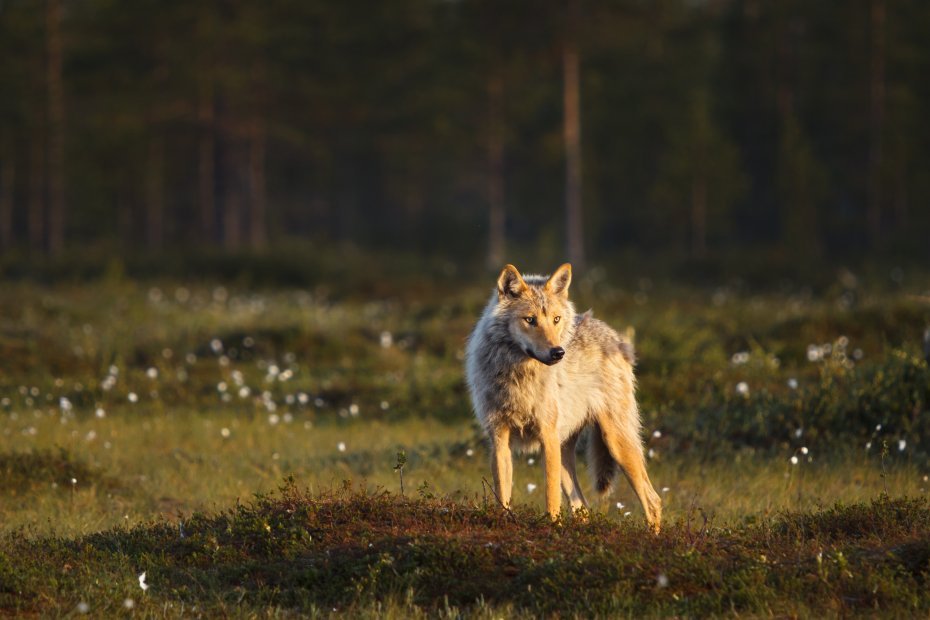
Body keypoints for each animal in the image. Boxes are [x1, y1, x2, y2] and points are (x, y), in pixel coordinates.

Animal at [464, 262, 660, 528]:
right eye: (530, 320)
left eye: (555, 319)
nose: (558, 352)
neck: (520, 375)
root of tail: (615, 337)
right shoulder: (499, 438)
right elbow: (503, 495)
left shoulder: (547, 437)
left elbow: (551, 498)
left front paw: (552, 528)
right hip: (567, 453)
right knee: (583, 508)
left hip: (615, 442)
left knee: (653, 501)